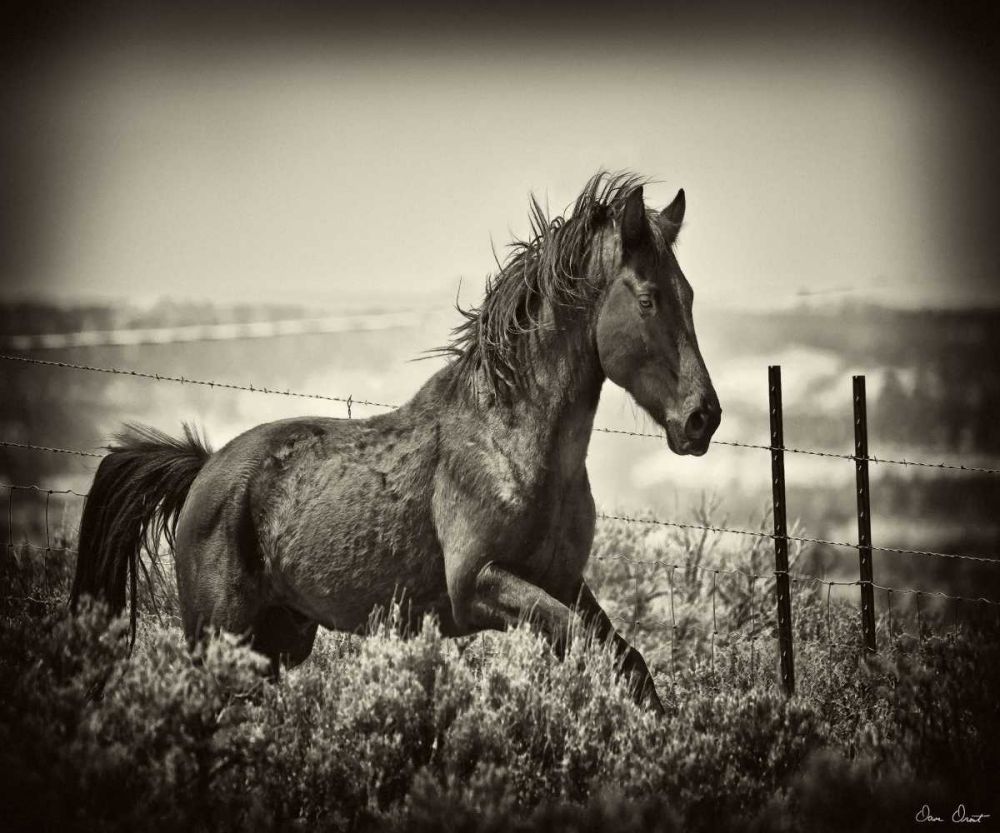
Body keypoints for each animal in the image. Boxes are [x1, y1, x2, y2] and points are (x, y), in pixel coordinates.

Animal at [70, 171, 721, 713]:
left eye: (689, 295)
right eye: (648, 298)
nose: (703, 419)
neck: (511, 444)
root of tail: (206, 470)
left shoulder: (564, 583)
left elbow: (627, 662)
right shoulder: (477, 585)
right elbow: (586, 643)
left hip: (278, 641)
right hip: (220, 635)